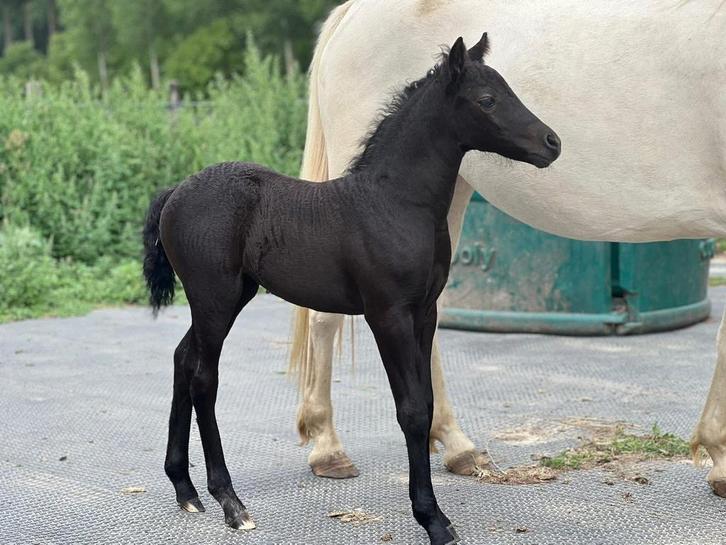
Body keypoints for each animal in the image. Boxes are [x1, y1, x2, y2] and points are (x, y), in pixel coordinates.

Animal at [142, 36, 560, 543]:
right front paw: (432, 519)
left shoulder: (424, 313)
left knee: (183, 360)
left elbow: (426, 402)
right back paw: (231, 503)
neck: (396, 203)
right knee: (204, 380)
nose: (552, 143)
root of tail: (174, 193)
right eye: (487, 100)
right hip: (214, 299)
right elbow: (411, 410)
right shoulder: (388, 315)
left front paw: (437, 514)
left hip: (227, 298)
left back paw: (185, 490)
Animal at [288, 0, 726, 494]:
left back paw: (456, 445)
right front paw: (720, 456)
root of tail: (350, 14)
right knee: (325, 318)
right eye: (487, 99)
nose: (552, 141)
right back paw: (328, 448)